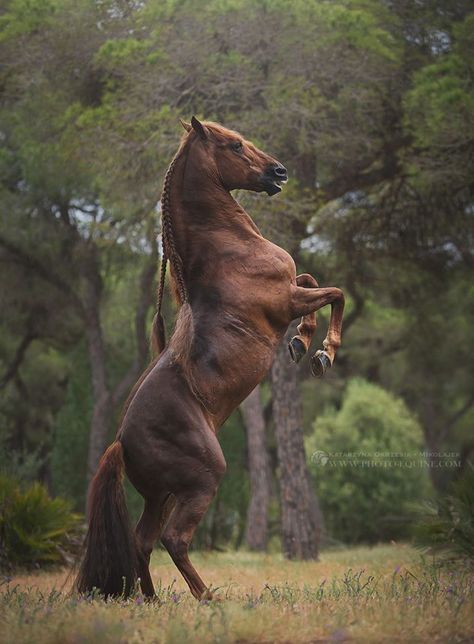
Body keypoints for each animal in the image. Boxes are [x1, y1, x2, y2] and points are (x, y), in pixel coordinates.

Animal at [77, 118, 344, 600]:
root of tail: (121, 441)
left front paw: (300, 344)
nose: (279, 172)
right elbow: (335, 291)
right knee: (173, 540)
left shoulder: (293, 290)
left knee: (143, 540)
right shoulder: (286, 300)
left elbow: (314, 278)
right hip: (202, 480)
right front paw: (321, 353)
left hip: (161, 495)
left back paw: (152, 600)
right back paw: (207, 599)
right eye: (234, 145)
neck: (230, 250)